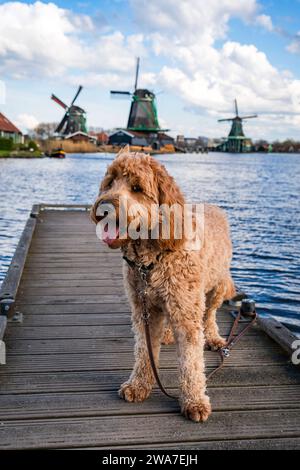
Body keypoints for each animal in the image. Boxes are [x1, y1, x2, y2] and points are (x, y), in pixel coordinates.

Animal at [90, 148, 236, 422]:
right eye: (110, 182)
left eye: (137, 188)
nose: (103, 208)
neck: (151, 260)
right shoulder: (143, 309)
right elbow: (143, 350)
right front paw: (138, 385)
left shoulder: (187, 312)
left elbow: (191, 361)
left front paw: (194, 401)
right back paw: (168, 334)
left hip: (216, 286)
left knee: (210, 314)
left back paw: (213, 337)